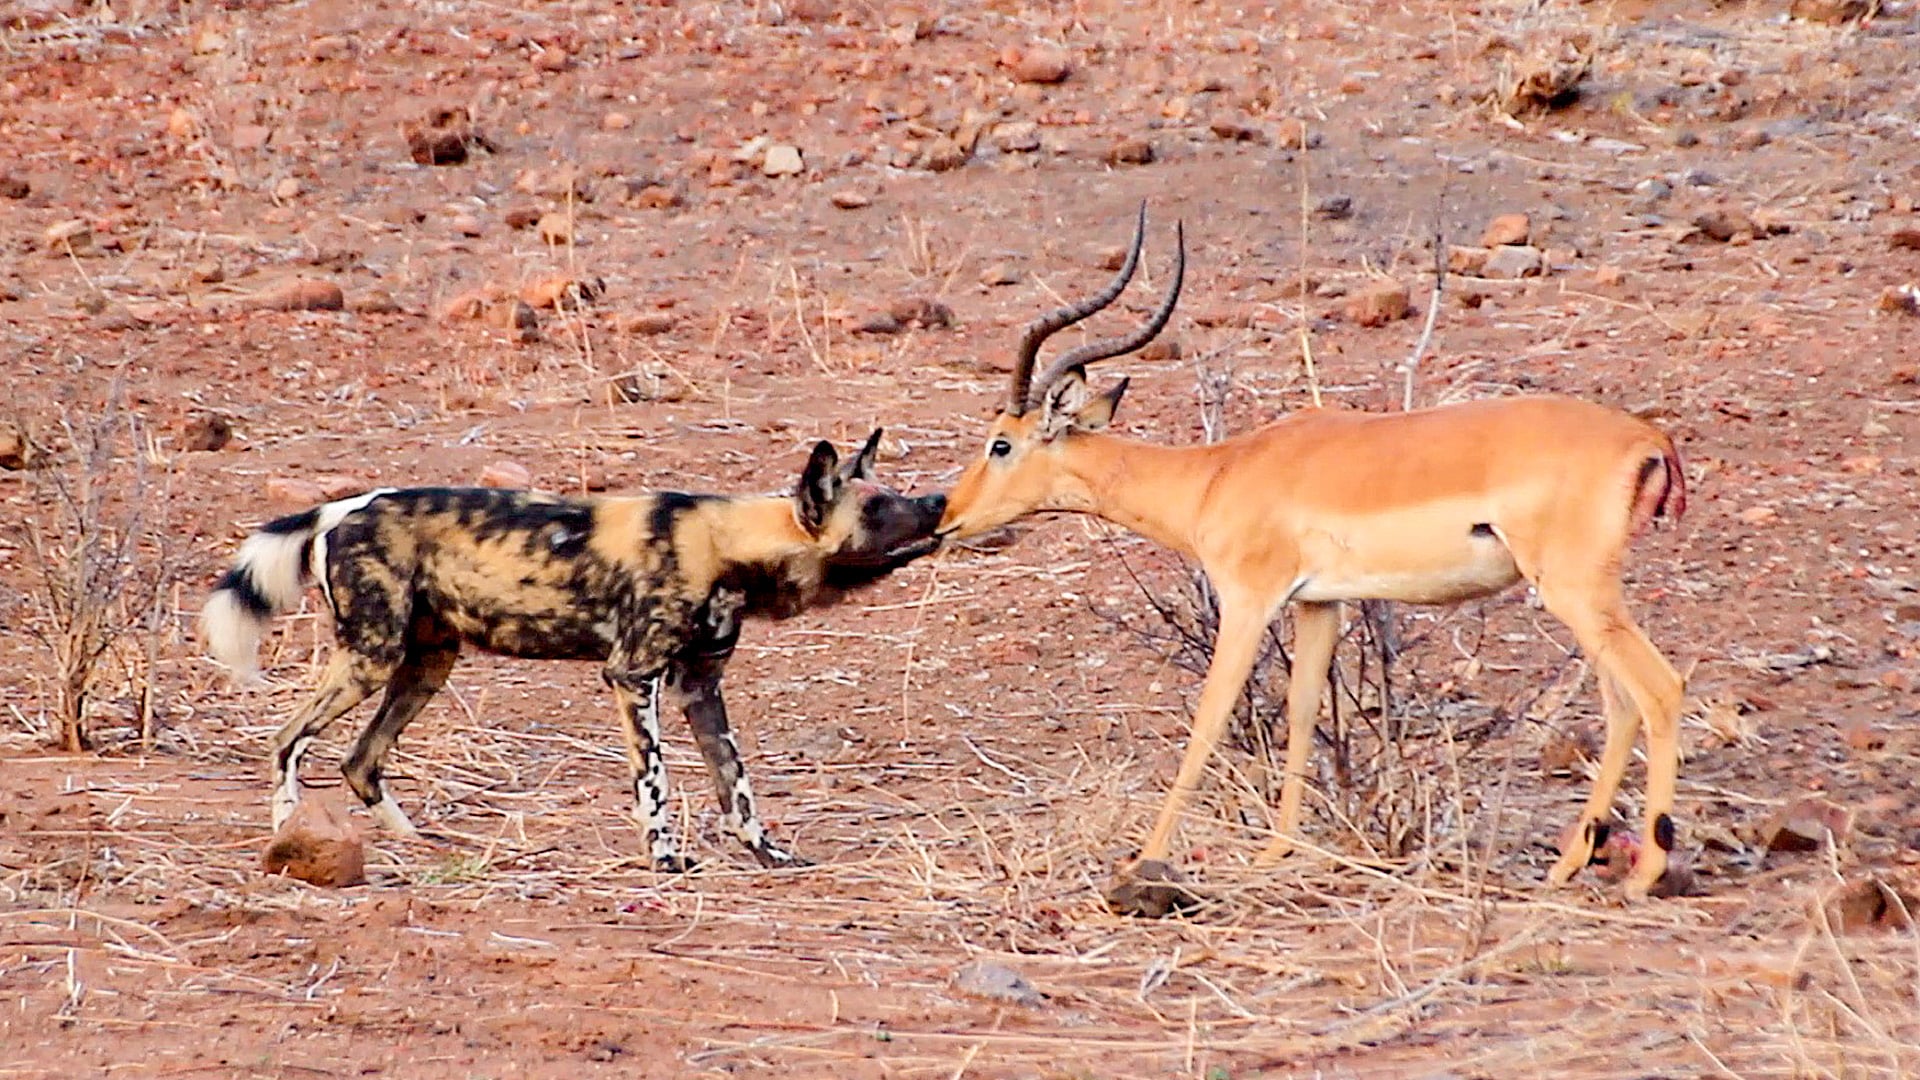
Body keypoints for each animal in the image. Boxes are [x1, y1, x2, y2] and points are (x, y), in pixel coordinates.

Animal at [937, 207, 1689, 901]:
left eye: (1000, 443)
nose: (946, 517)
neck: (1217, 475)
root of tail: (1649, 440)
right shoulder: (1319, 604)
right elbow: (1302, 710)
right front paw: (1279, 849)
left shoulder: (1248, 600)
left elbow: (1210, 717)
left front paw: (1142, 859)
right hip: (1581, 599)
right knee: (1621, 704)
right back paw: (1568, 864)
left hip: (1574, 591)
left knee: (1659, 688)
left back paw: (1645, 871)